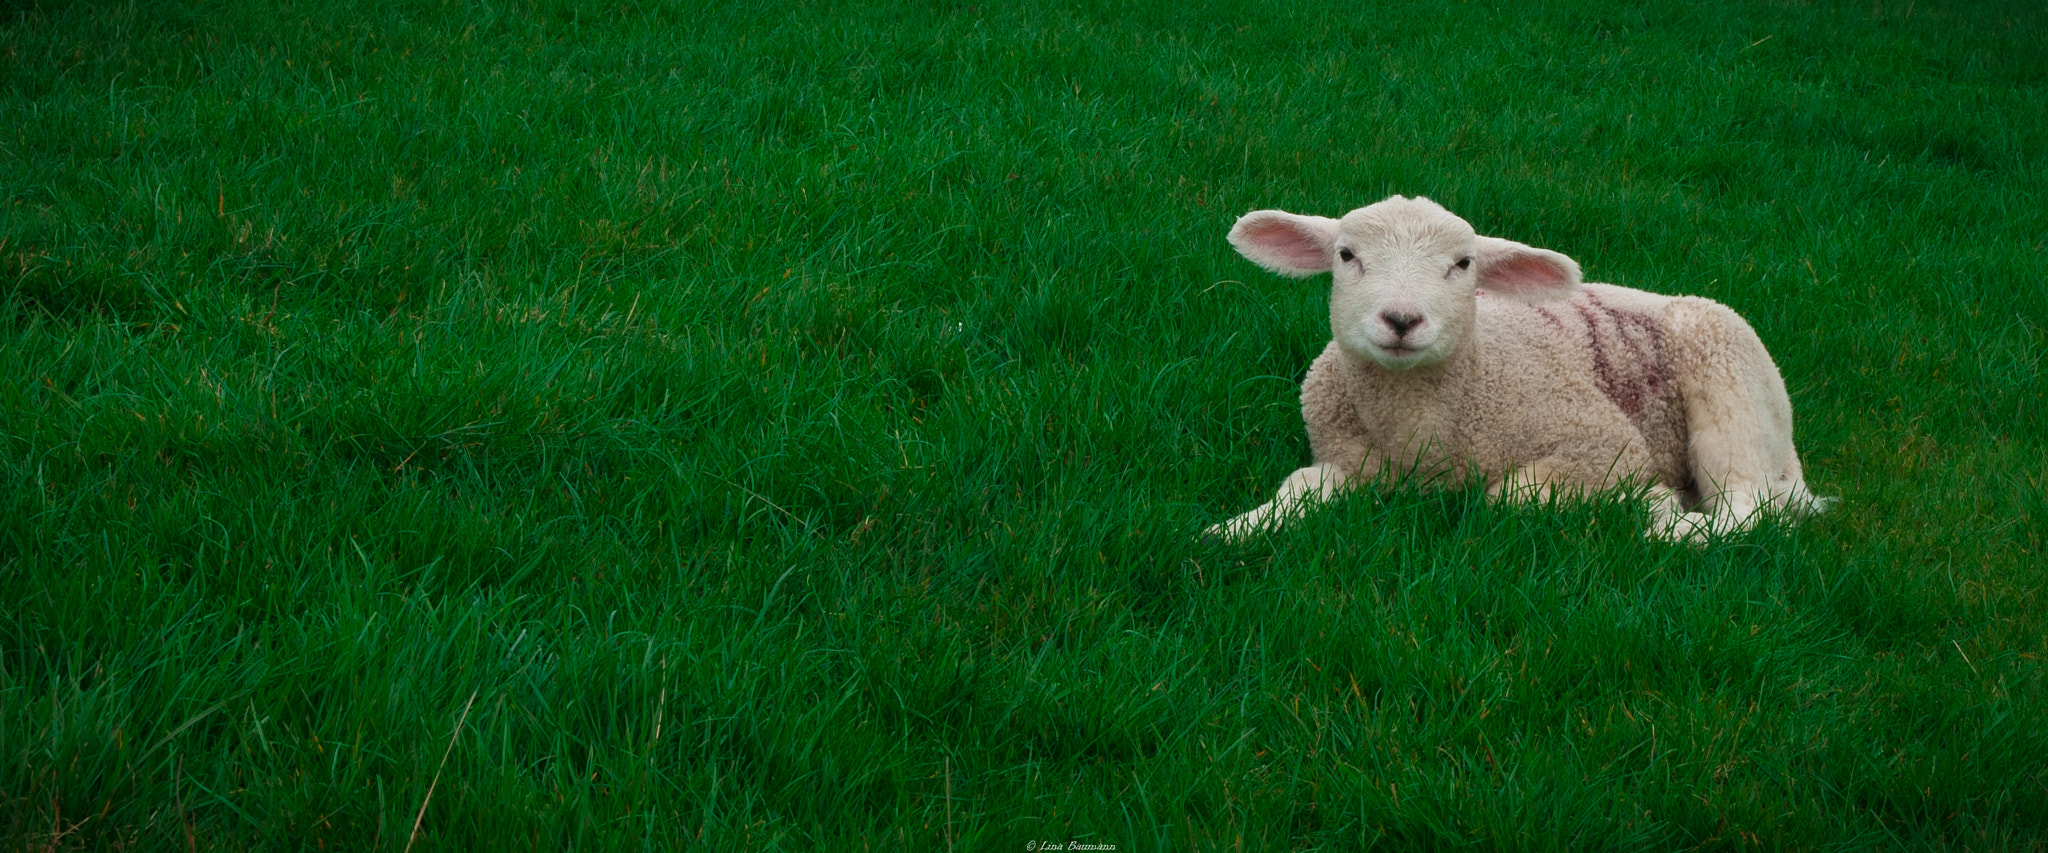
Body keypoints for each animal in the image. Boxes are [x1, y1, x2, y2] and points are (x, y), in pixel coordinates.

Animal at [1207, 195, 1830, 542]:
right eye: (1345, 255)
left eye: (1463, 264)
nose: (1402, 320)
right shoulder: (1346, 457)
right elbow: (1298, 488)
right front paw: (1235, 529)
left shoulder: (1605, 443)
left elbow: (1506, 497)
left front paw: (1642, 499)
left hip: (1732, 393)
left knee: (1750, 509)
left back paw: (1671, 524)